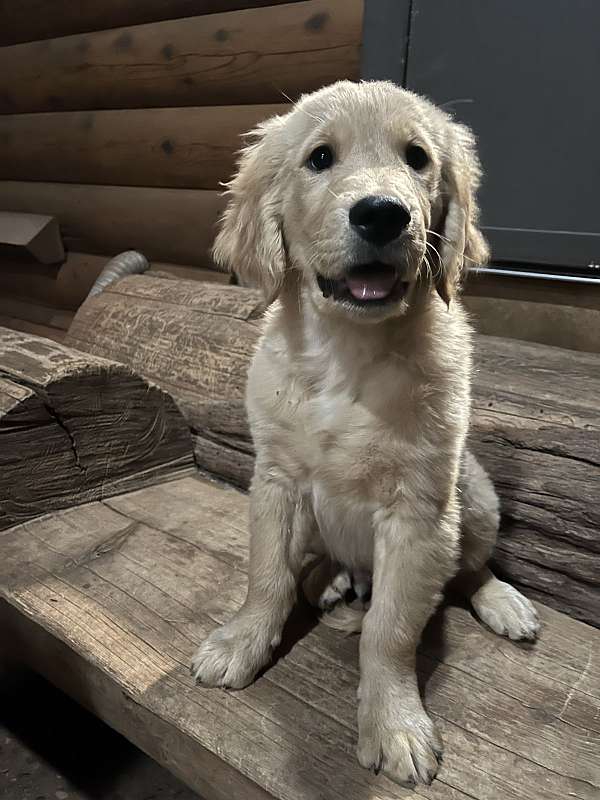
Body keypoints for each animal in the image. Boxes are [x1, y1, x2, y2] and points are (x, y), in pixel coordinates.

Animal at [192, 81, 540, 788]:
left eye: (417, 158)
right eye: (320, 158)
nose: (383, 215)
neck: (346, 353)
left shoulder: (420, 512)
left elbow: (391, 630)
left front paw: (394, 724)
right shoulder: (275, 480)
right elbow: (265, 577)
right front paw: (242, 642)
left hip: (475, 497)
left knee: (469, 570)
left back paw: (500, 601)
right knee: (325, 563)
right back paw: (329, 579)